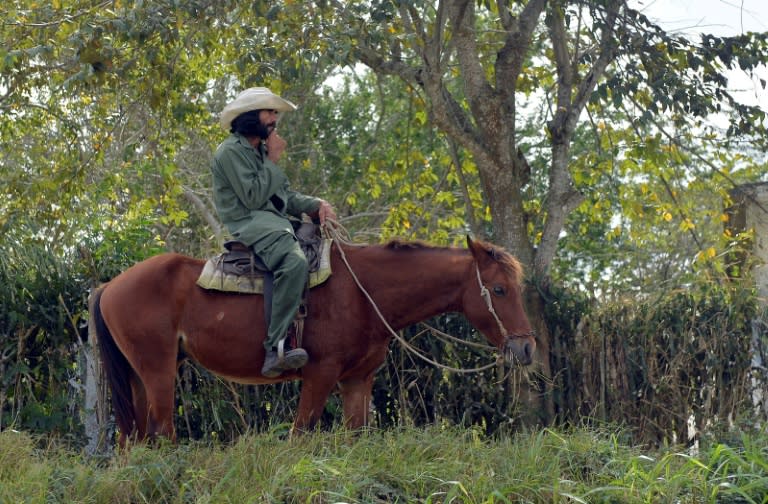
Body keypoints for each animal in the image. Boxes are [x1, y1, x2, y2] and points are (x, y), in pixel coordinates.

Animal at [91, 236, 536, 444]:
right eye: (499, 290)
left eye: (518, 287)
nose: (527, 347)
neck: (364, 292)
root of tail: (110, 285)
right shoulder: (320, 375)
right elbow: (300, 435)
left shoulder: (358, 379)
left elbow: (355, 435)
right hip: (158, 371)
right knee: (160, 432)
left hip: (138, 375)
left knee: (133, 439)